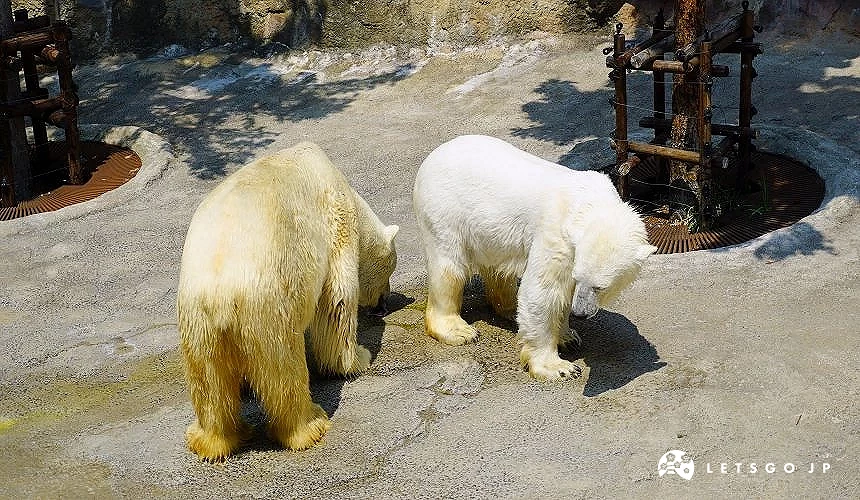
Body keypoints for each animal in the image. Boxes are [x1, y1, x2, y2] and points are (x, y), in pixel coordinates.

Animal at [177, 142, 398, 461]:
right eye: (391, 269)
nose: (385, 303)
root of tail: (219, 294)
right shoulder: (337, 223)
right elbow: (338, 300)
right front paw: (358, 358)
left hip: (197, 322)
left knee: (210, 383)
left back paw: (211, 440)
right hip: (269, 305)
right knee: (285, 370)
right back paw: (310, 424)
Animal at [412, 135, 656, 382]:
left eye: (600, 287)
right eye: (581, 278)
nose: (580, 313)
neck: (586, 202)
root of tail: (435, 154)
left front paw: (568, 336)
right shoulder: (555, 235)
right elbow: (545, 292)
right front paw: (559, 367)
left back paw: (510, 309)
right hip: (445, 211)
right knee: (449, 270)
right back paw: (458, 330)